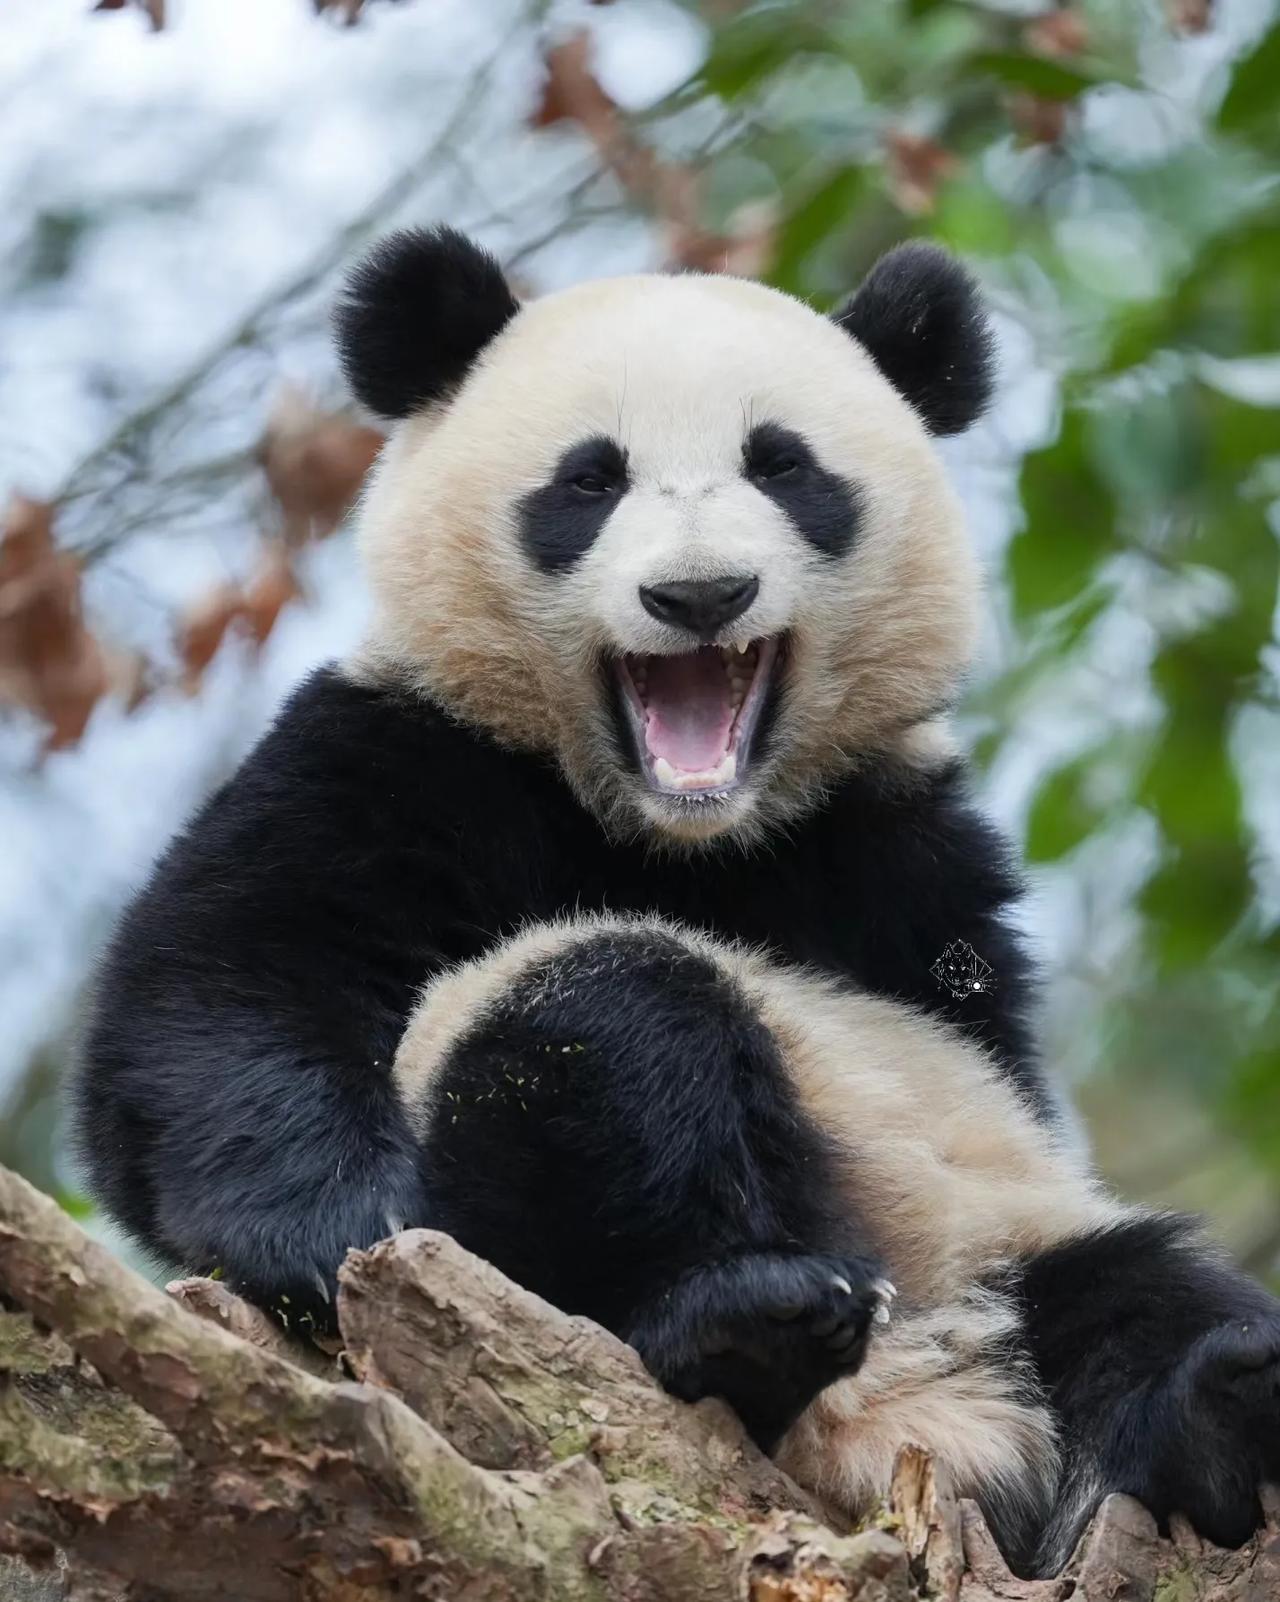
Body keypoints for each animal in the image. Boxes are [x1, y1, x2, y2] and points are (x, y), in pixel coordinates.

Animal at [77, 222, 1280, 1576]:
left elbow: (987, 1048)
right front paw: (334, 1228)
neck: (680, 836)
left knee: (1139, 1296)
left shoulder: (901, 852)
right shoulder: (399, 750)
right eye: (588, 481)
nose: (700, 596)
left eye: (784, 467)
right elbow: (220, 988)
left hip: (996, 1243)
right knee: (603, 1025)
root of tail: (916, 1409)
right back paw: (743, 1323)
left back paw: (1218, 1406)